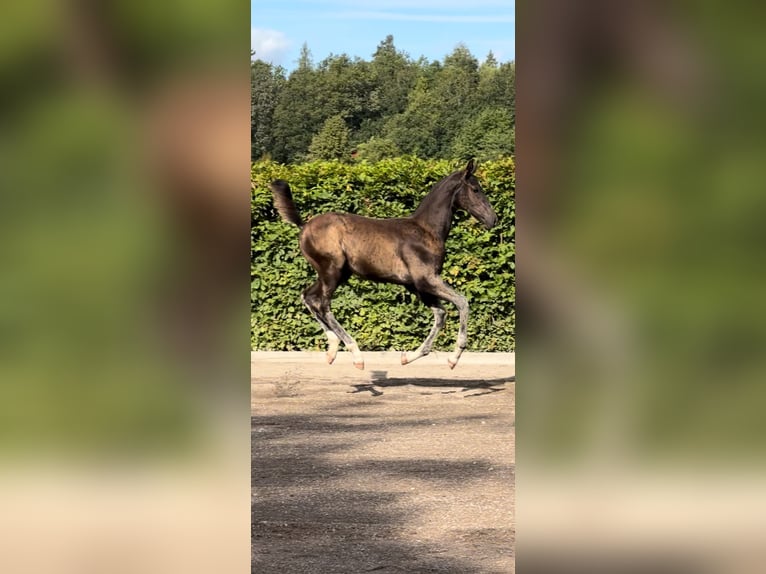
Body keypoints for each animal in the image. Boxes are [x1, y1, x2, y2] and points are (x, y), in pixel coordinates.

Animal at [270, 160, 498, 372]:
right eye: (476, 189)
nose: (493, 219)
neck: (426, 230)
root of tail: (304, 225)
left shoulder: (416, 286)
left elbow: (440, 314)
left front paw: (409, 357)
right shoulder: (426, 280)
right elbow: (462, 302)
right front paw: (454, 357)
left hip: (336, 274)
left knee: (308, 296)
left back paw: (332, 349)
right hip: (331, 271)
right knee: (323, 304)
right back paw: (355, 354)